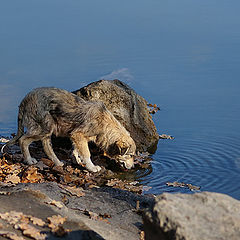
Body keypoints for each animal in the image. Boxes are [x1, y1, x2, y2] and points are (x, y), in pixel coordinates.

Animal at [1, 87, 136, 172]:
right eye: (130, 155)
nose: (133, 167)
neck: (104, 124)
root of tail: (25, 100)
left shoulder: (75, 136)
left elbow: (76, 149)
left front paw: (76, 159)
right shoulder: (78, 134)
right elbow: (87, 153)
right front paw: (91, 167)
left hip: (47, 129)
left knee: (46, 147)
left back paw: (57, 163)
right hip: (43, 129)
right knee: (23, 140)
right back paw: (29, 160)